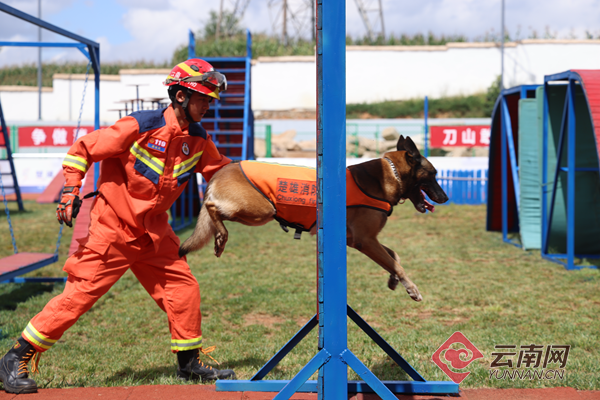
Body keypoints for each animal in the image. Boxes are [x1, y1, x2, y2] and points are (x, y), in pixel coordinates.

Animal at [179, 135, 448, 302]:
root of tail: (221, 171)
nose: (445, 197)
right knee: (212, 207)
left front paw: (393, 279)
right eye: (434, 174)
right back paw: (221, 236)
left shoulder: (360, 240)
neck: (389, 176)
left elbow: (393, 256)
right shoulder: (366, 240)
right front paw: (410, 288)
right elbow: (396, 262)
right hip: (261, 210)